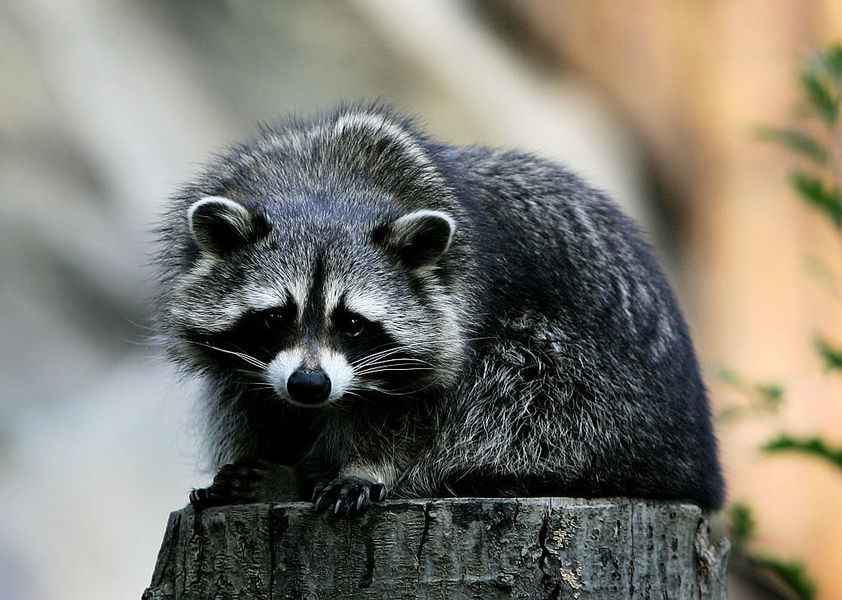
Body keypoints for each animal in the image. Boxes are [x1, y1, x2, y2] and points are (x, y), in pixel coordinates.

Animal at [156, 101, 720, 512]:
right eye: (275, 317)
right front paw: (264, 452)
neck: (324, 188)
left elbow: (425, 405)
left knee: (517, 379)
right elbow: (249, 399)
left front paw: (366, 466)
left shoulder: (457, 303)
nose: (310, 386)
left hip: (602, 402)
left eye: (353, 324)